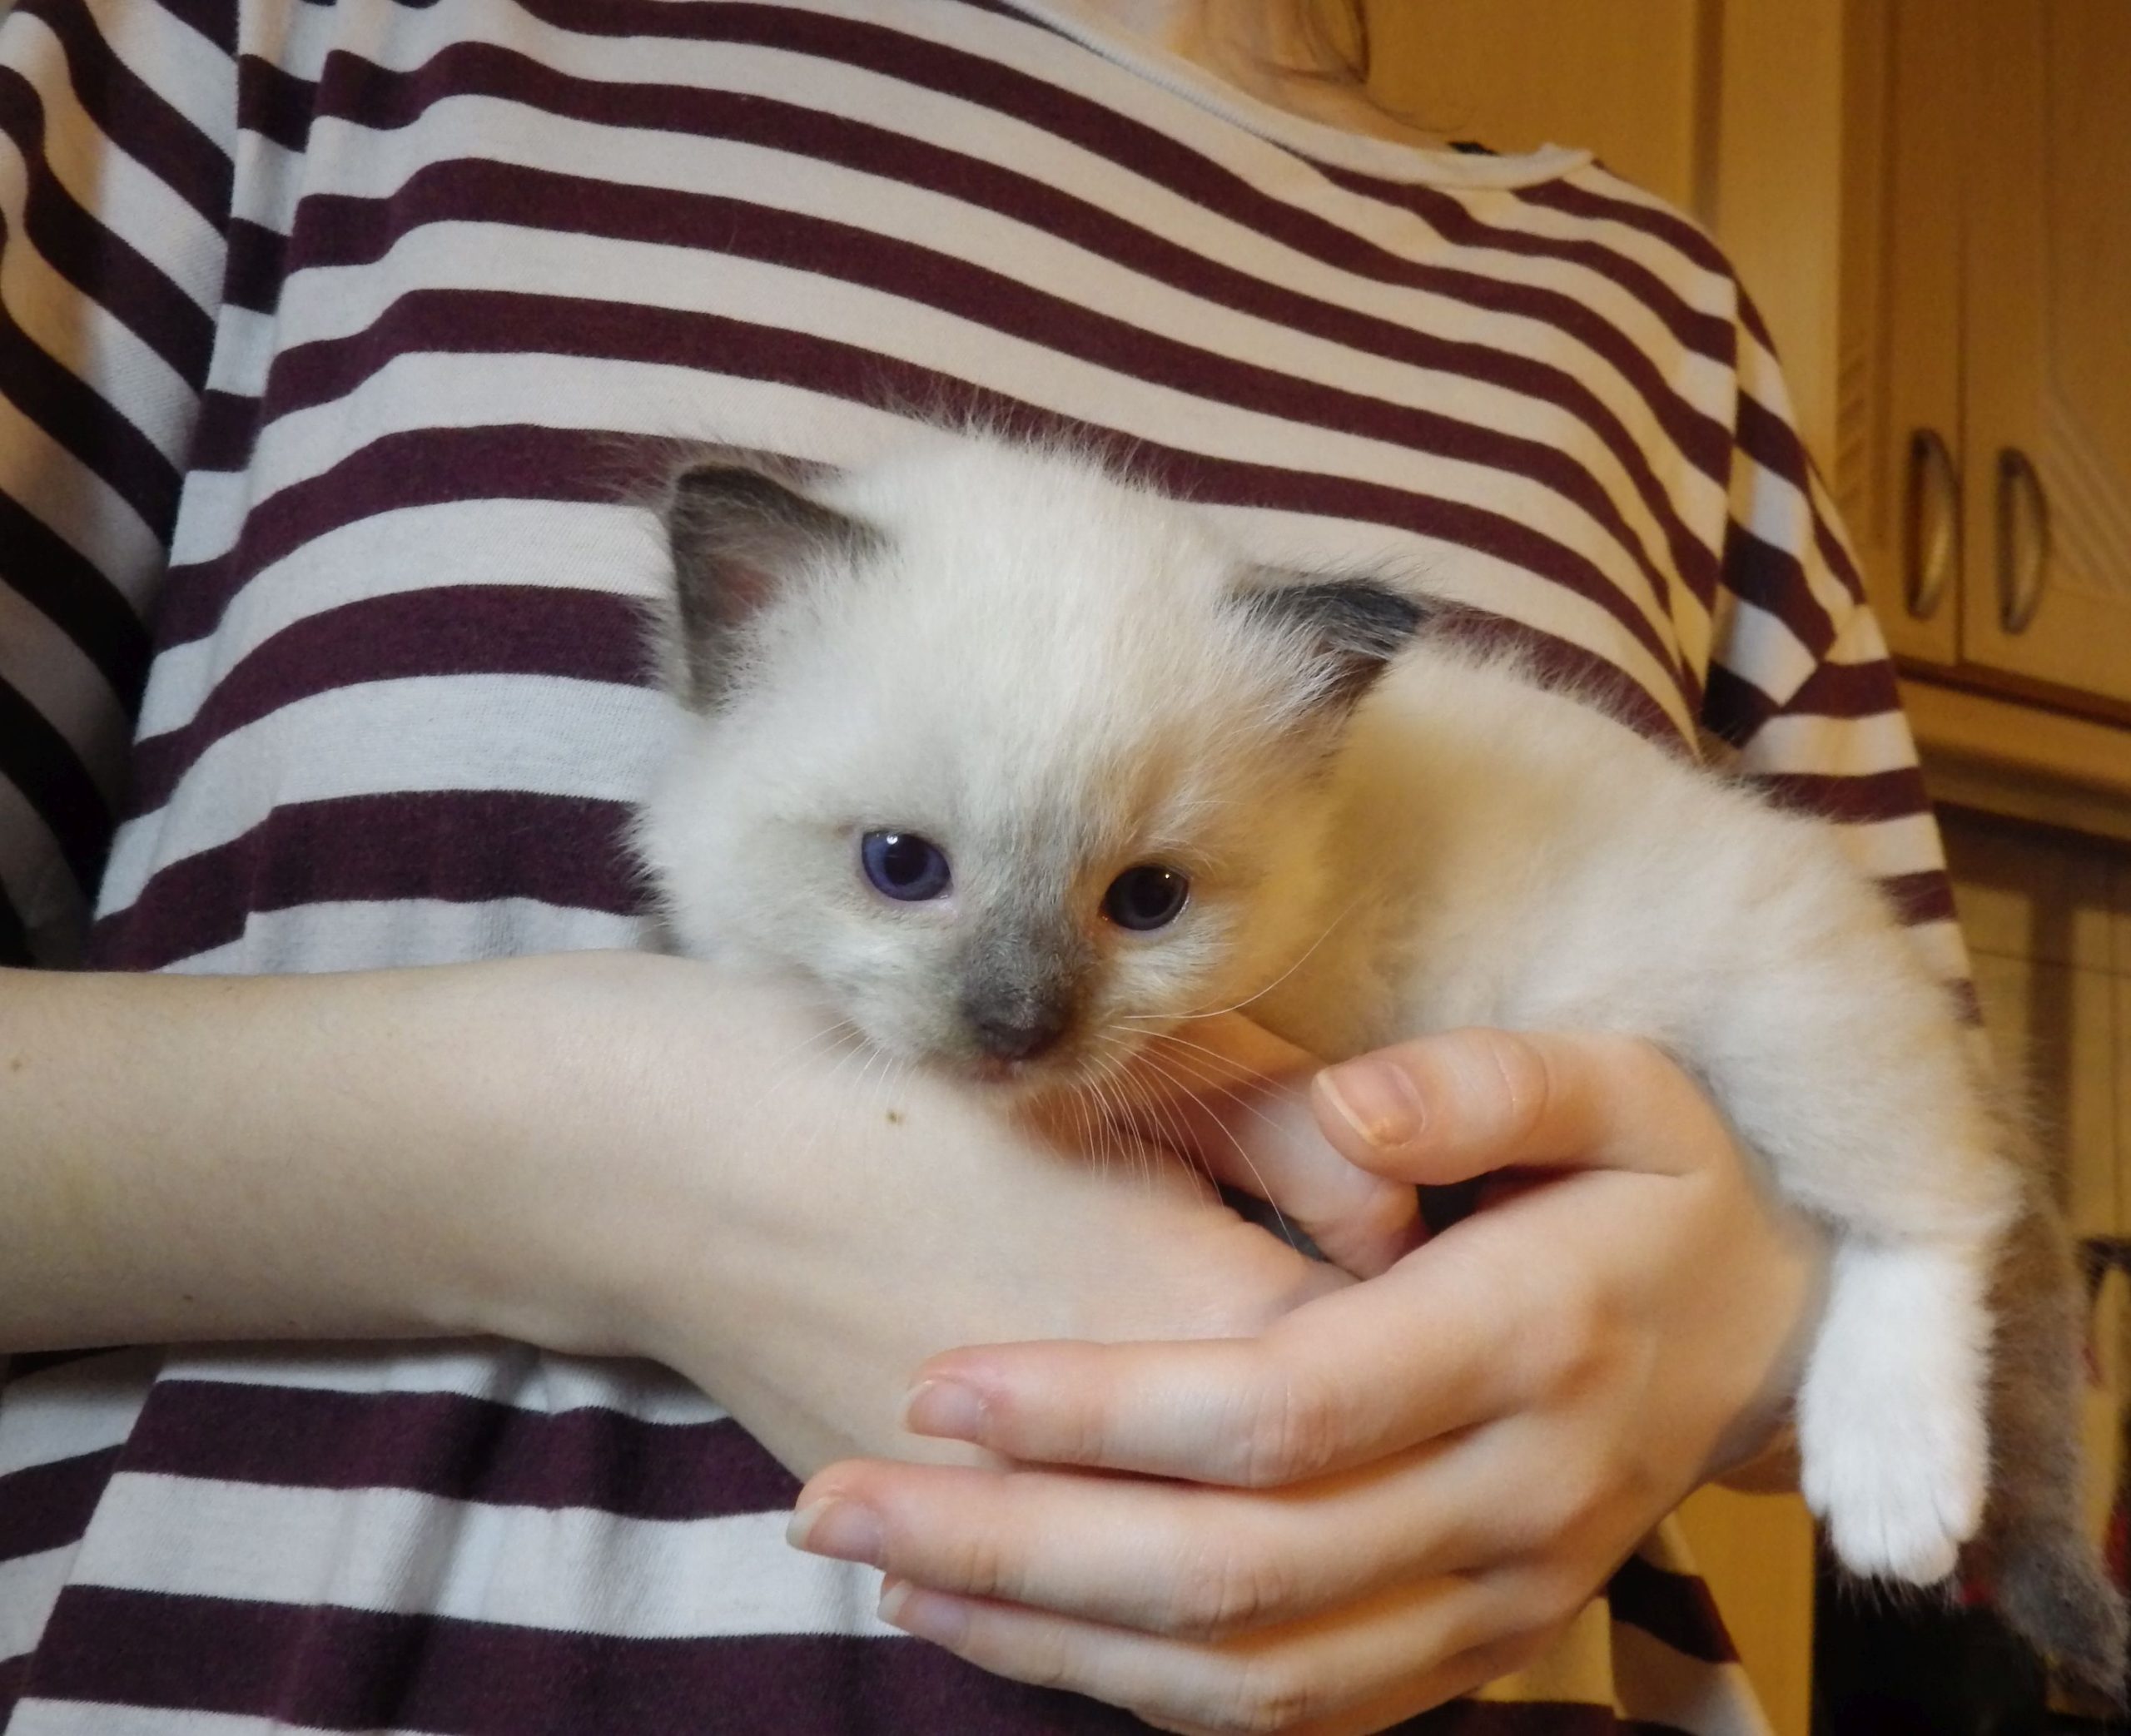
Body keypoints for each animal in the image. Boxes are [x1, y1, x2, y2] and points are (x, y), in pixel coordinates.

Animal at [631, 430, 2126, 1699]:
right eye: (901, 866)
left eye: (1148, 900)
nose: (1016, 1026)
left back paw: (1895, 1488)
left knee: (1948, 1206)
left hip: (1784, 1020)